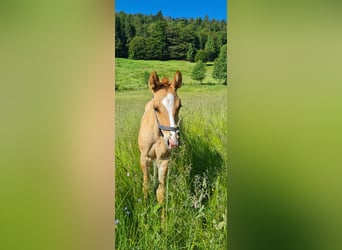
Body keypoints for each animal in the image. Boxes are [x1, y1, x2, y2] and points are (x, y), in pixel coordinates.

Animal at [138, 70, 183, 221]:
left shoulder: (164, 160)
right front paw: (145, 215)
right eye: (155, 108)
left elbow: (161, 192)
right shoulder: (144, 158)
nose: (173, 141)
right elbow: (145, 186)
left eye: (179, 106)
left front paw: (164, 222)